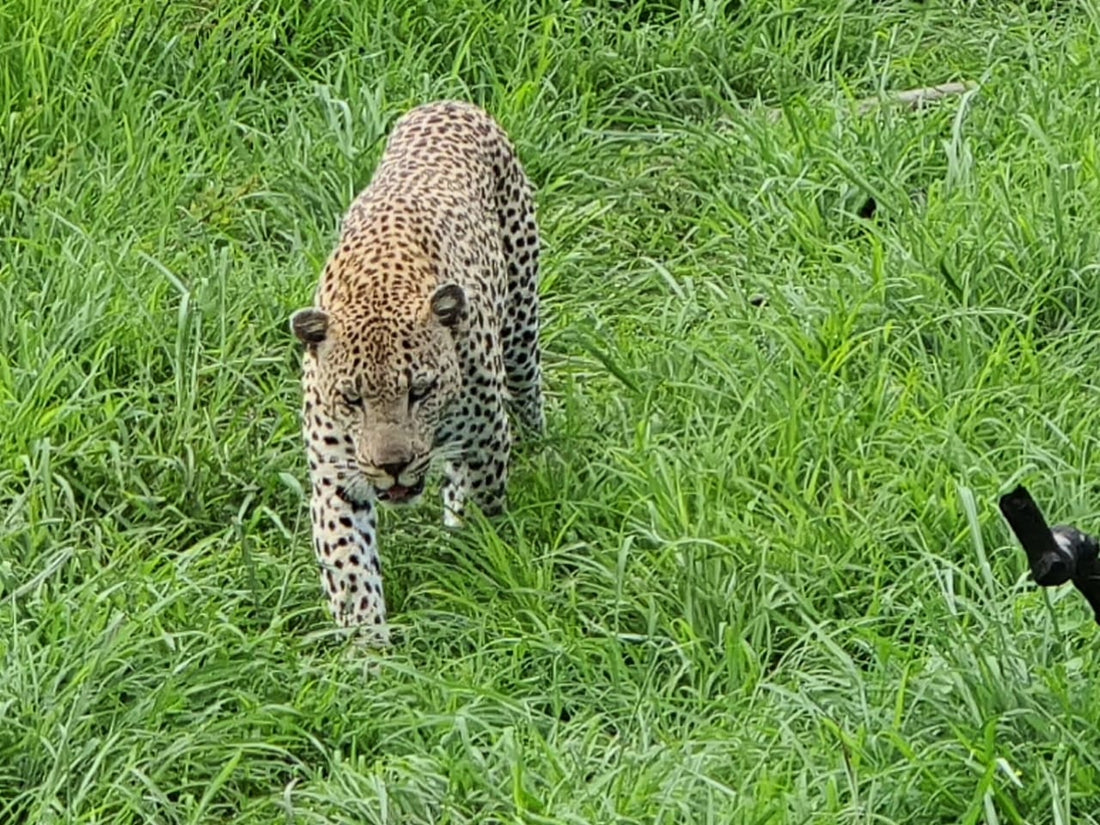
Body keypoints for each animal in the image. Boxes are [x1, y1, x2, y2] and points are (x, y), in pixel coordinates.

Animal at [283, 101, 541, 646]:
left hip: (521, 319)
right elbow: (351, 574)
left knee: (528, 387)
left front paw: (469, 561)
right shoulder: (336, 478)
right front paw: (369, 652)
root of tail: (447, 102)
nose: (394, 465)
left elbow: (480, 506)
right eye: (352, 399)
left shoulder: (486, 438)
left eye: (420, 391)